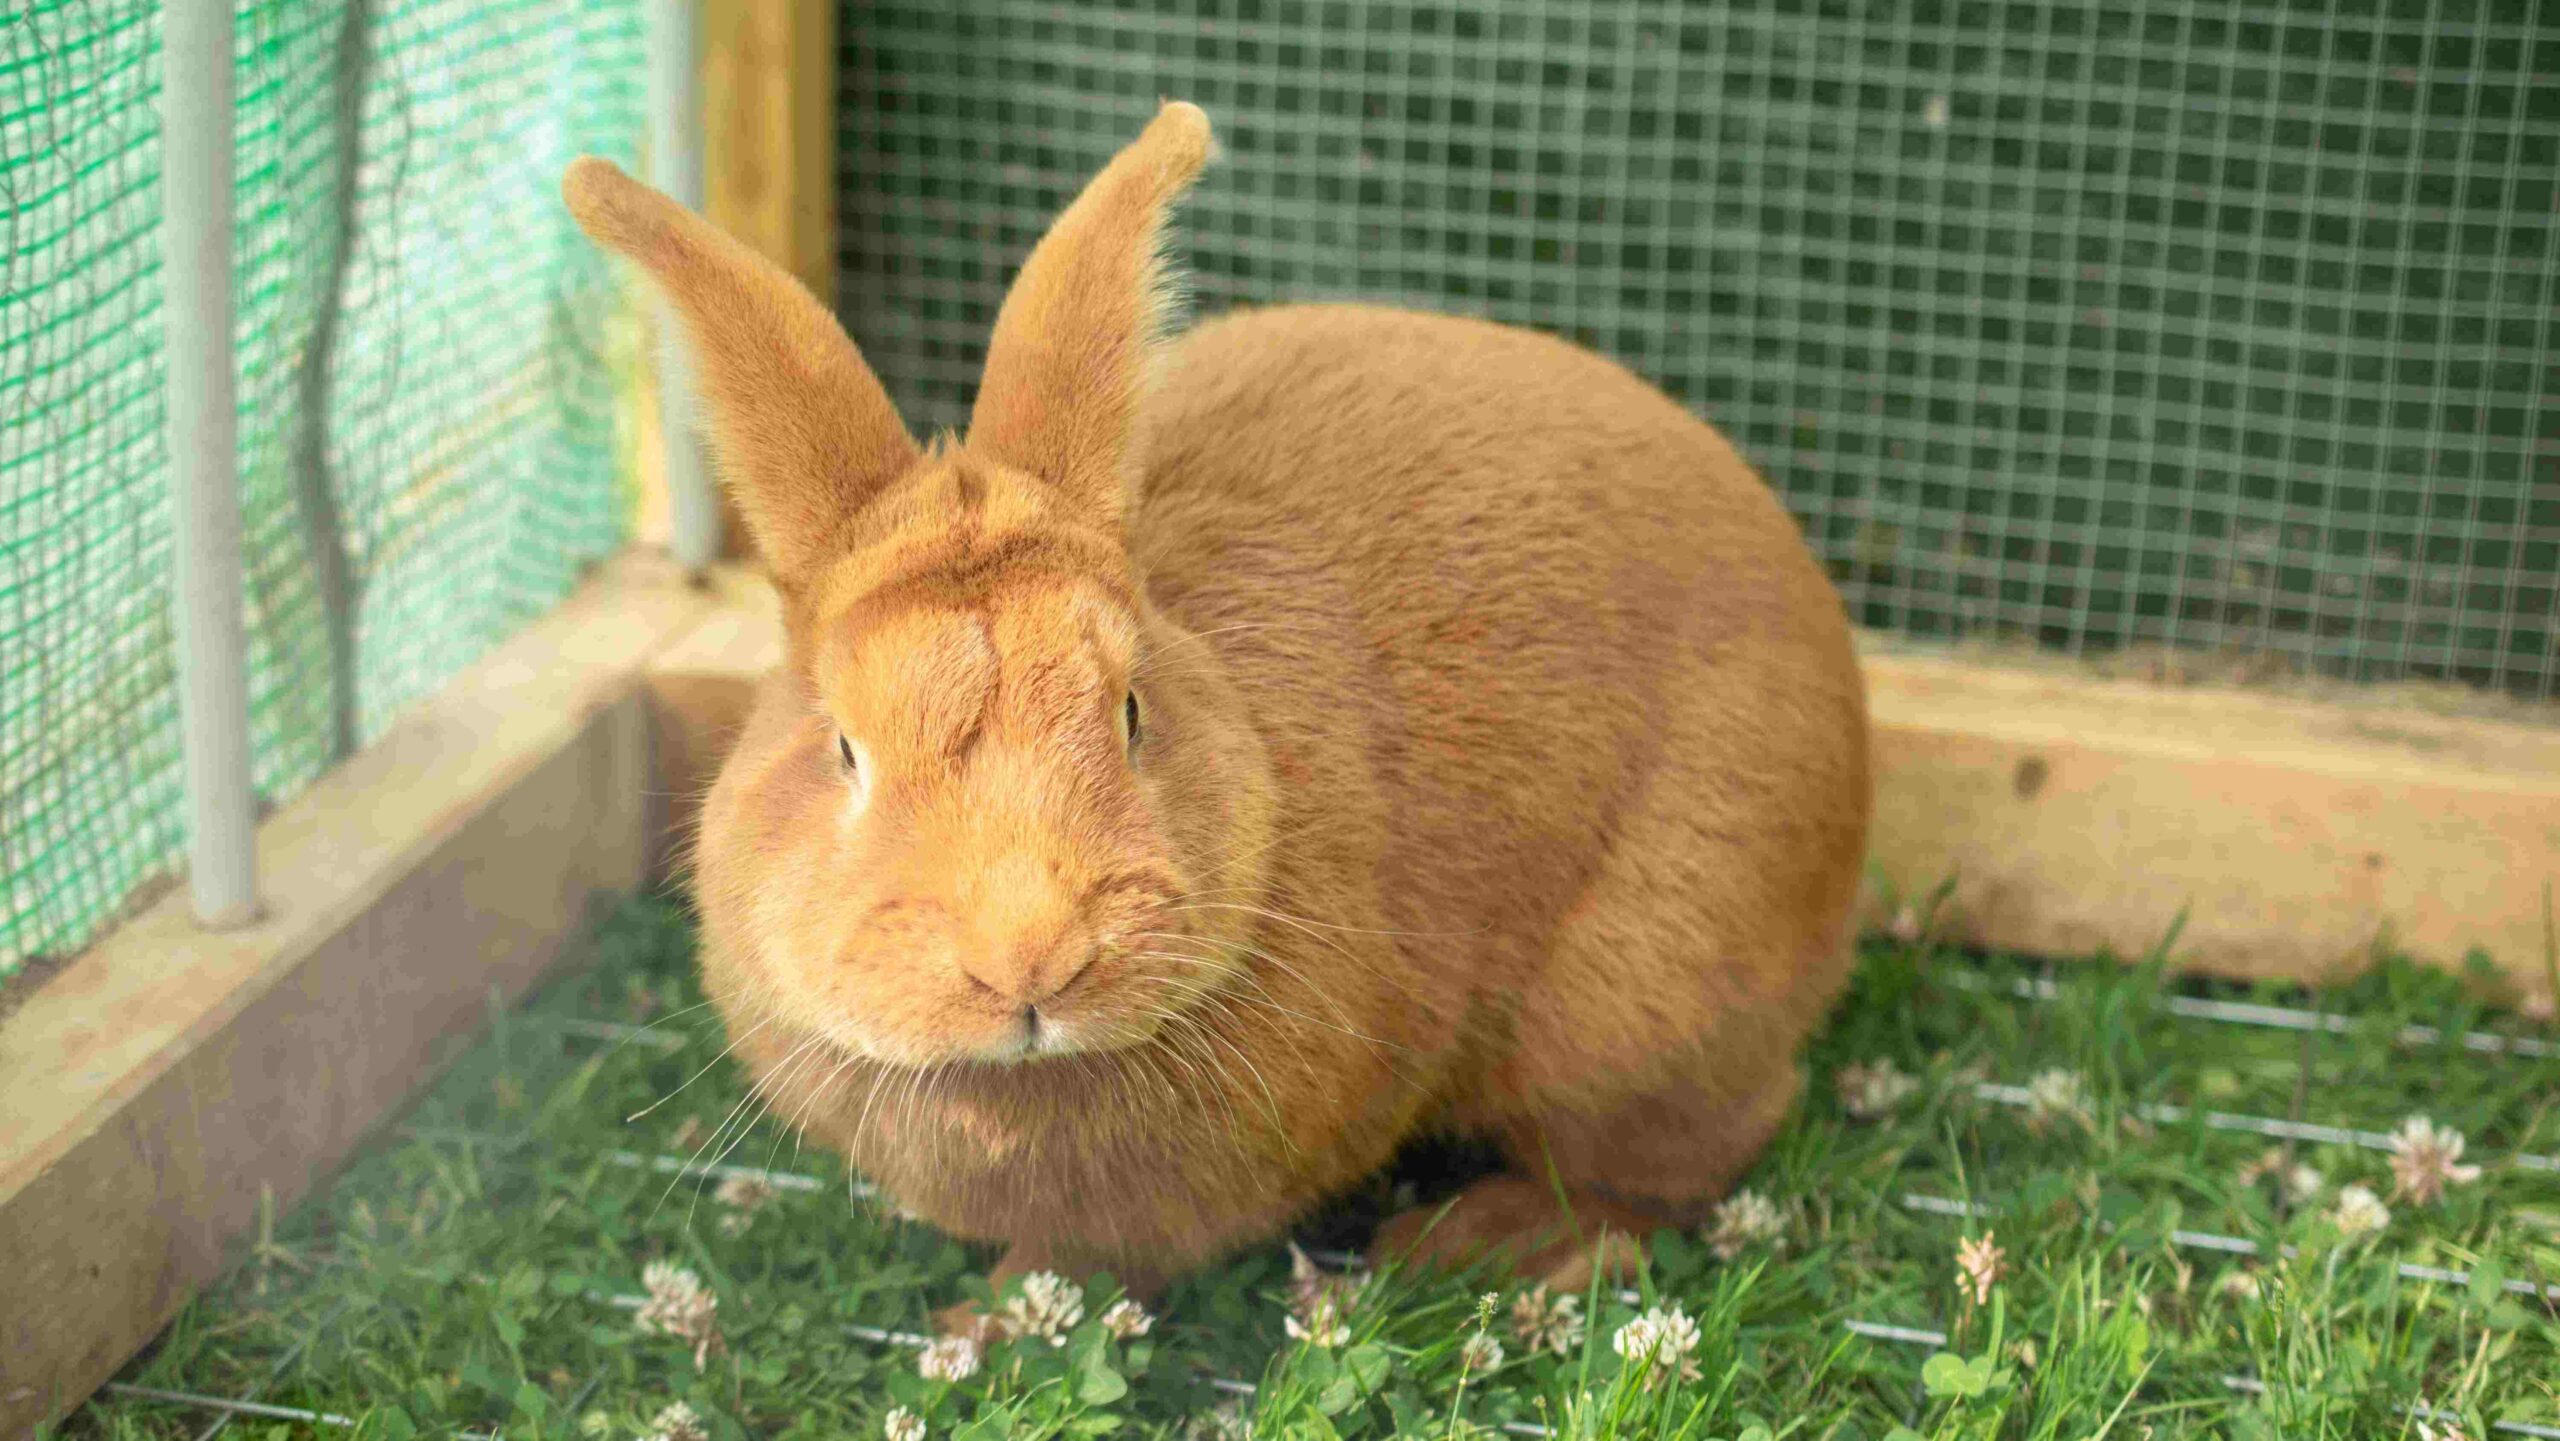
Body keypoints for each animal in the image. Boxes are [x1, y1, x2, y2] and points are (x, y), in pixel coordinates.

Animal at [562, 100, 1870, 1313]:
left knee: (1673, 1160)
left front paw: (992, 1325)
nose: (1030, 960)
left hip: (1638, 1011)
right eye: (844, 747)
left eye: (1133, 711)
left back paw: (1487, 1242)